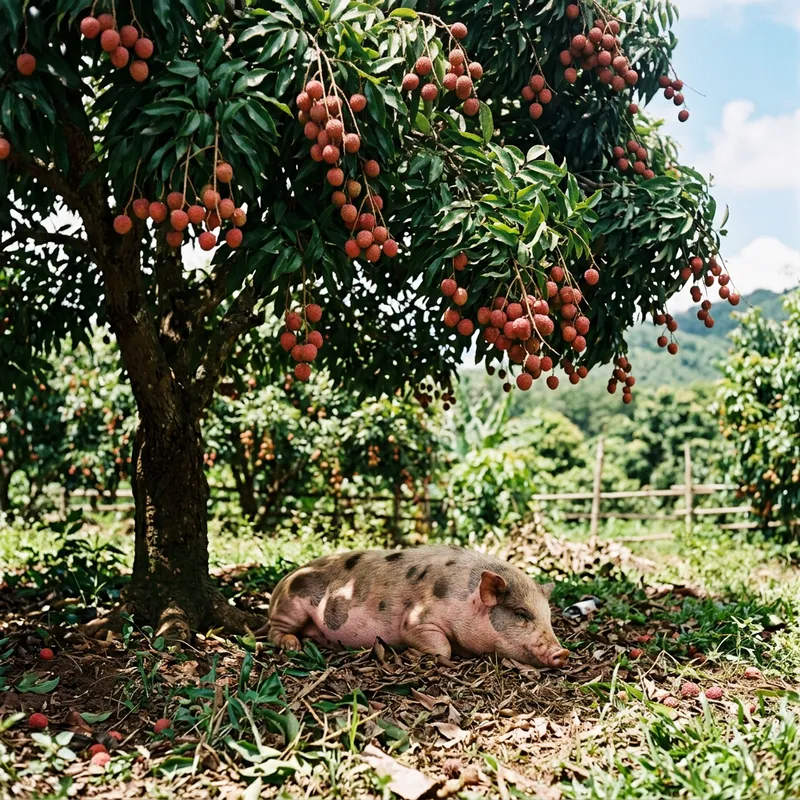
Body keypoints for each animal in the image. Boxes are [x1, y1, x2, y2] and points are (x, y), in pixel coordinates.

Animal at [265, 546, 569, 669]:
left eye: (549, 618)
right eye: (521, 613)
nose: (563, 652)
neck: (465, 597)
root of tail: (284, 580)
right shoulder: (416, 619)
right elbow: (442, 648)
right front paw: (412, 654)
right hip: (291, 605)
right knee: (273, 631)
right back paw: (293, 645)